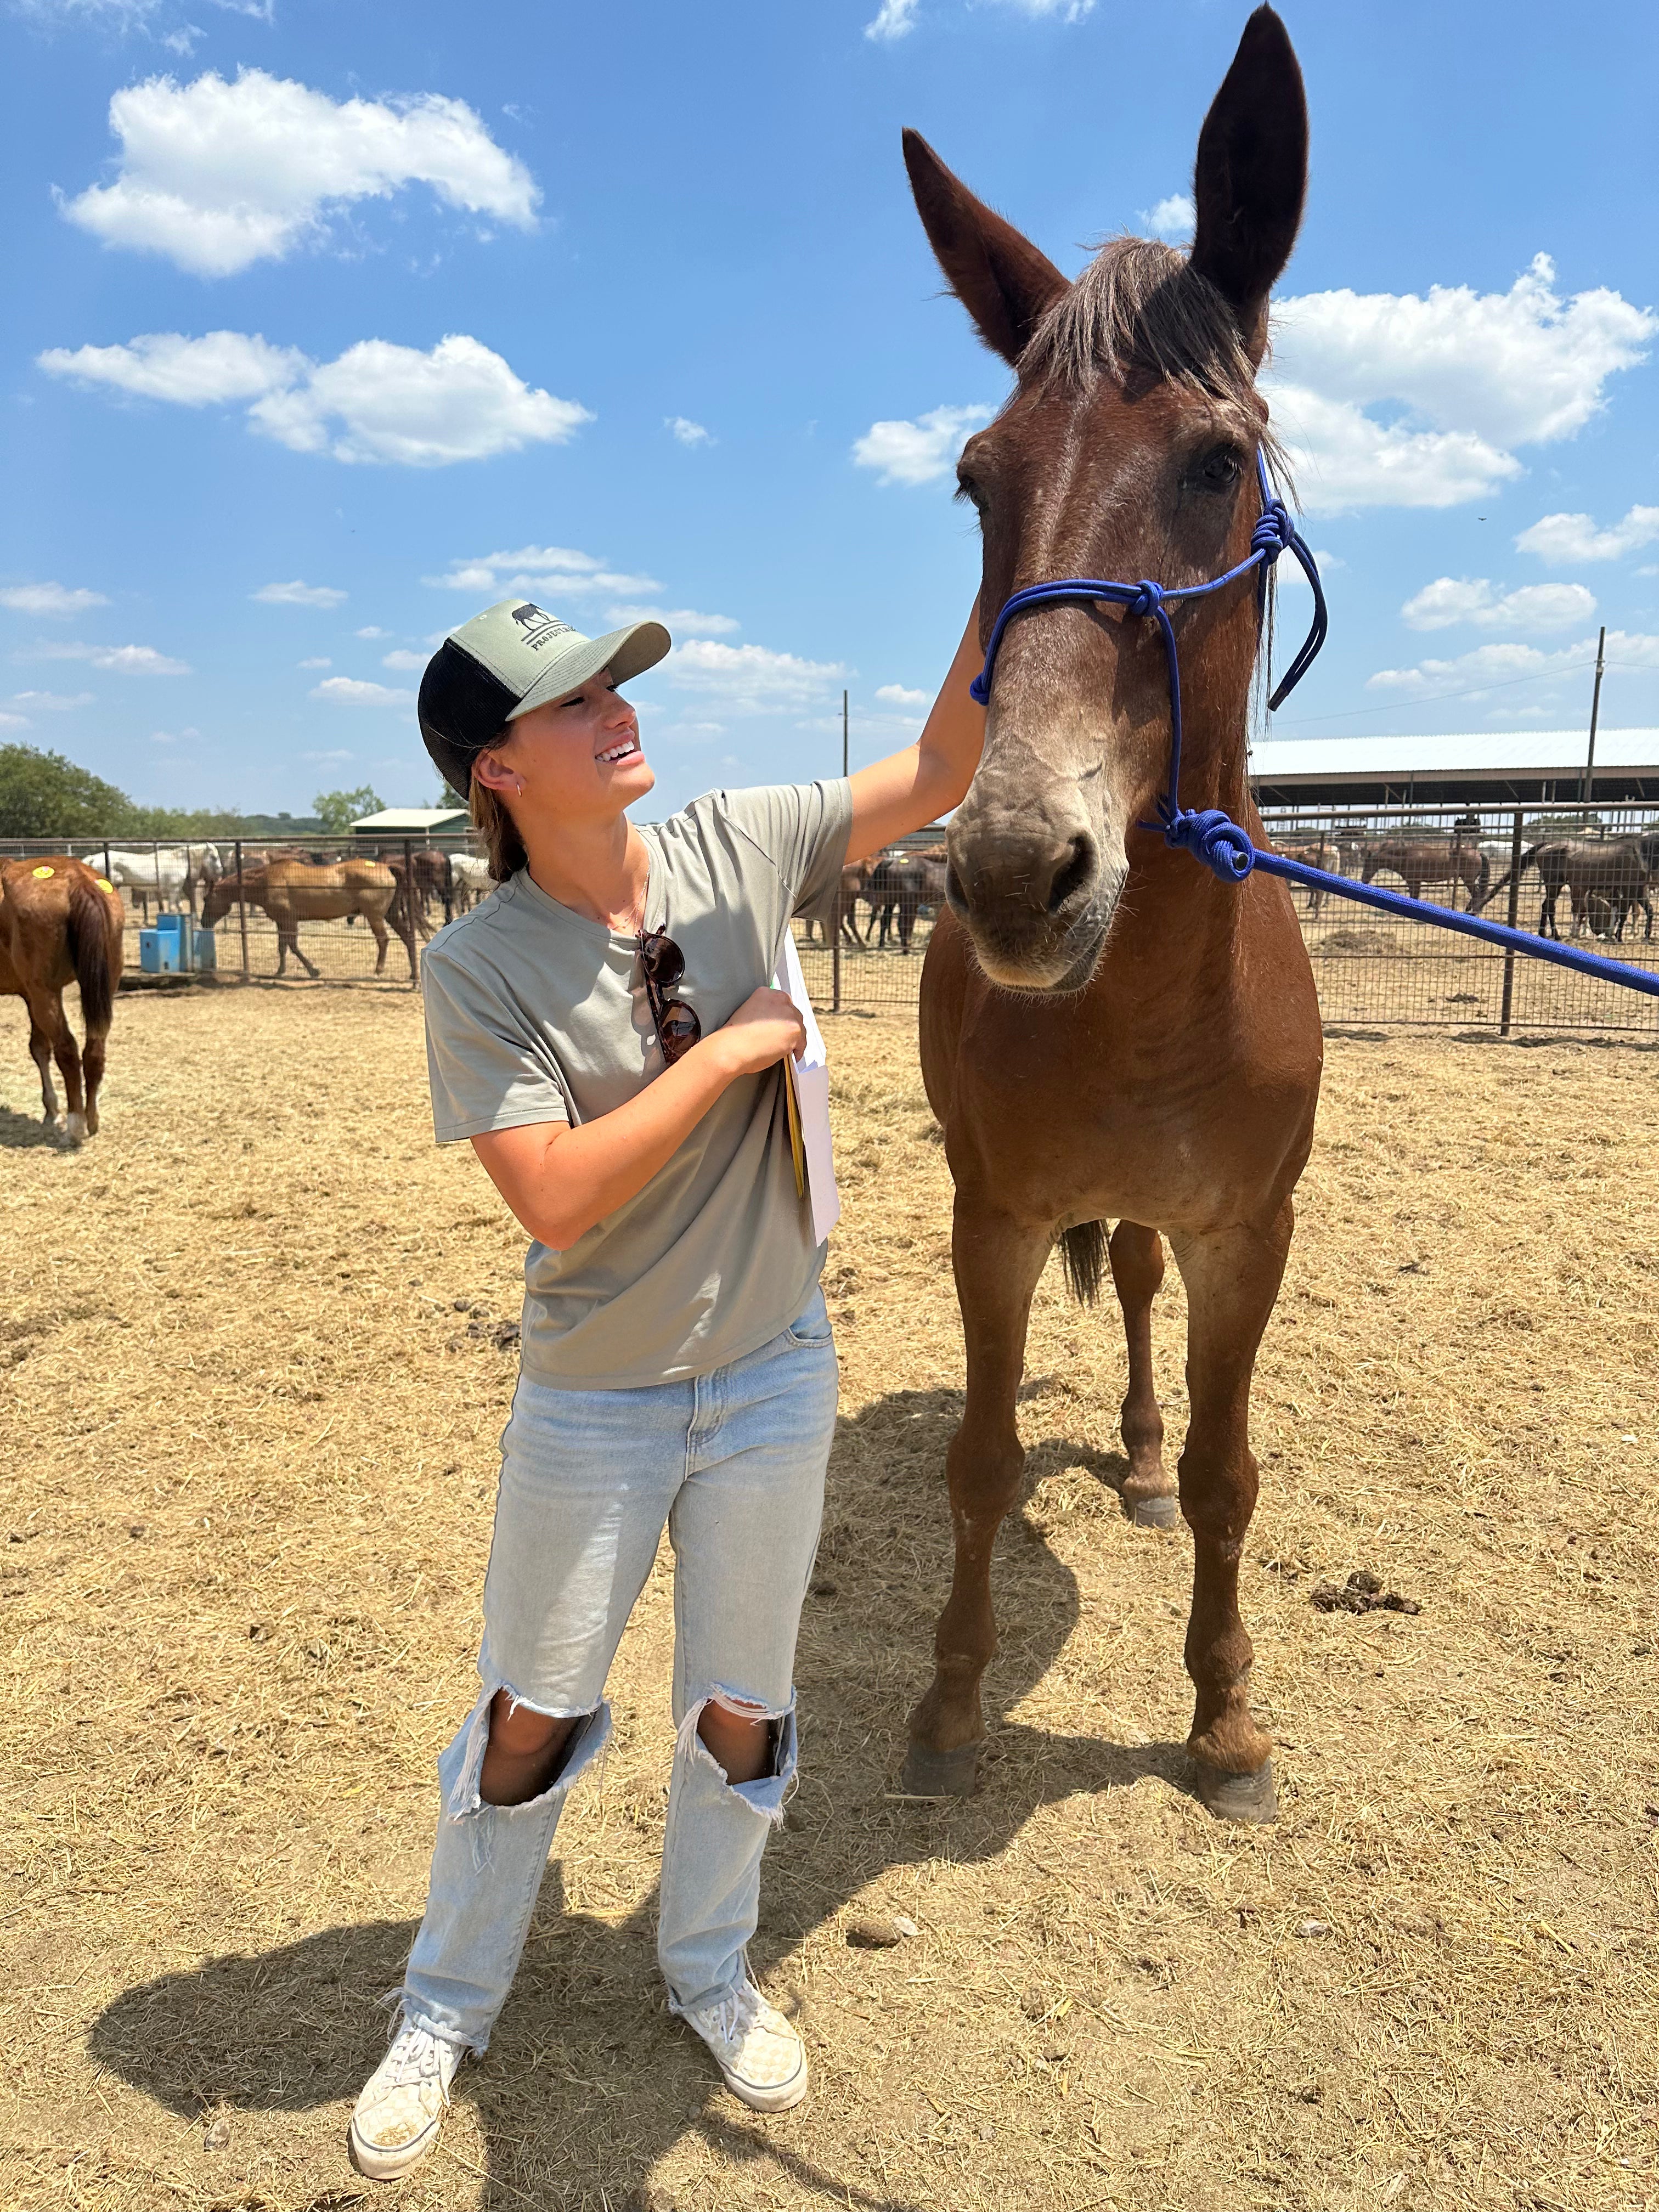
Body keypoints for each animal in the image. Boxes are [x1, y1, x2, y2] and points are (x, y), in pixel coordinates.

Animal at [0, 857, 124, 1143]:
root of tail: (76, 879)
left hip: (46, 992)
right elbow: (39, 1048)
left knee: (67, 1049)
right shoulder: (29, 995)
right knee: (94, 1050)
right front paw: (50, 1110)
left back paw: (75, 1124)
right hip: (101, 985)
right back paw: (91, 1119)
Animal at [201, 858, 417, 981]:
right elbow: (283, 947)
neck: (267, 880)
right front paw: (280, 971)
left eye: (206, 899)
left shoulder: (289, 920)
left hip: (375, 916)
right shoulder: (282, 921)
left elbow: (293, 946)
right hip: (390, 914)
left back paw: (378, 971)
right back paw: (413, 974)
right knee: (407, 937)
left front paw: (313, 970)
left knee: (383, 940)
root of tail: (386, 867)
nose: (204, 923)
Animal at [1358, 833, 1488, 912]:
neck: (1405, 856)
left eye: (1368, 864)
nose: (1363, 880)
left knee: (1477, 894)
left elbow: (1414, 897)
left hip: (1468, 879)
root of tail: (1478, 853)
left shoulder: (1415, 882)